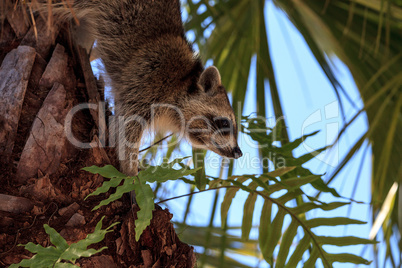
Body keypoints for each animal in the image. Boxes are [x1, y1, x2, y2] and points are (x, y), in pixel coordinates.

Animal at [47, 0, 243, 175]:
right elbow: (127, 124)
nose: (238, 152)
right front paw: (131, 172)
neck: (182, 82)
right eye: (225, 123)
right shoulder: (150, 79)